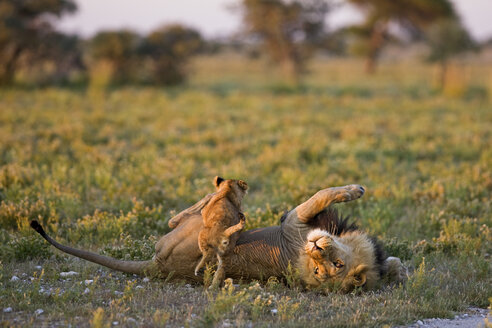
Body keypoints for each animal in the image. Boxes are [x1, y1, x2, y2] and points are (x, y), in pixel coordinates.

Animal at [31, 184, 408, 290]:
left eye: (331, 267)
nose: (316, 246)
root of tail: (158, 266)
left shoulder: (295, 221)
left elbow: (323, 194)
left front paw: (354, 189)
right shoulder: (300, 223)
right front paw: (399, 269)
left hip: (192, 228)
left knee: (184, 214)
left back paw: (225, 196)